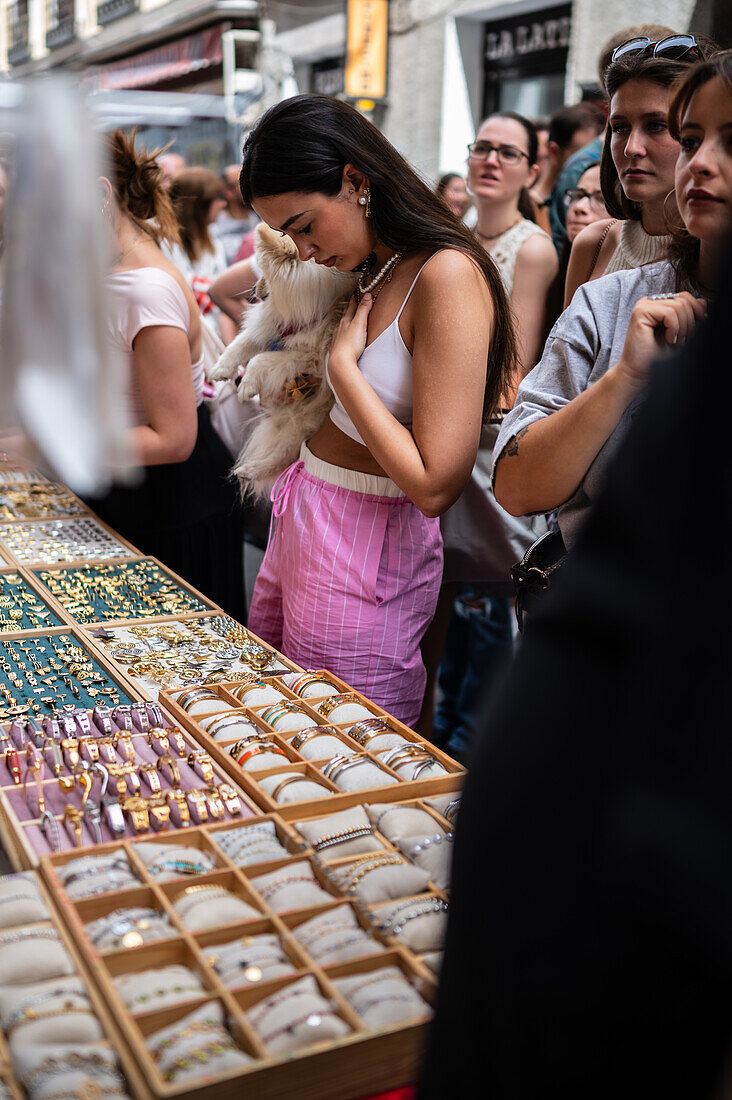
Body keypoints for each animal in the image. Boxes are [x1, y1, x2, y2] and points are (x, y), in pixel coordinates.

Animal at [208, 223, 356, 499]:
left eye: (265, 274)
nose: (253, 290)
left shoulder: (309, 356)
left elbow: (262, 359)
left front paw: (247, 385)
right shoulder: (272, 326)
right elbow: (243, 342)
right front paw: (220, 368)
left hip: (308, 420)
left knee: (287, 453)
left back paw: (252, 470)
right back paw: (249, 471)